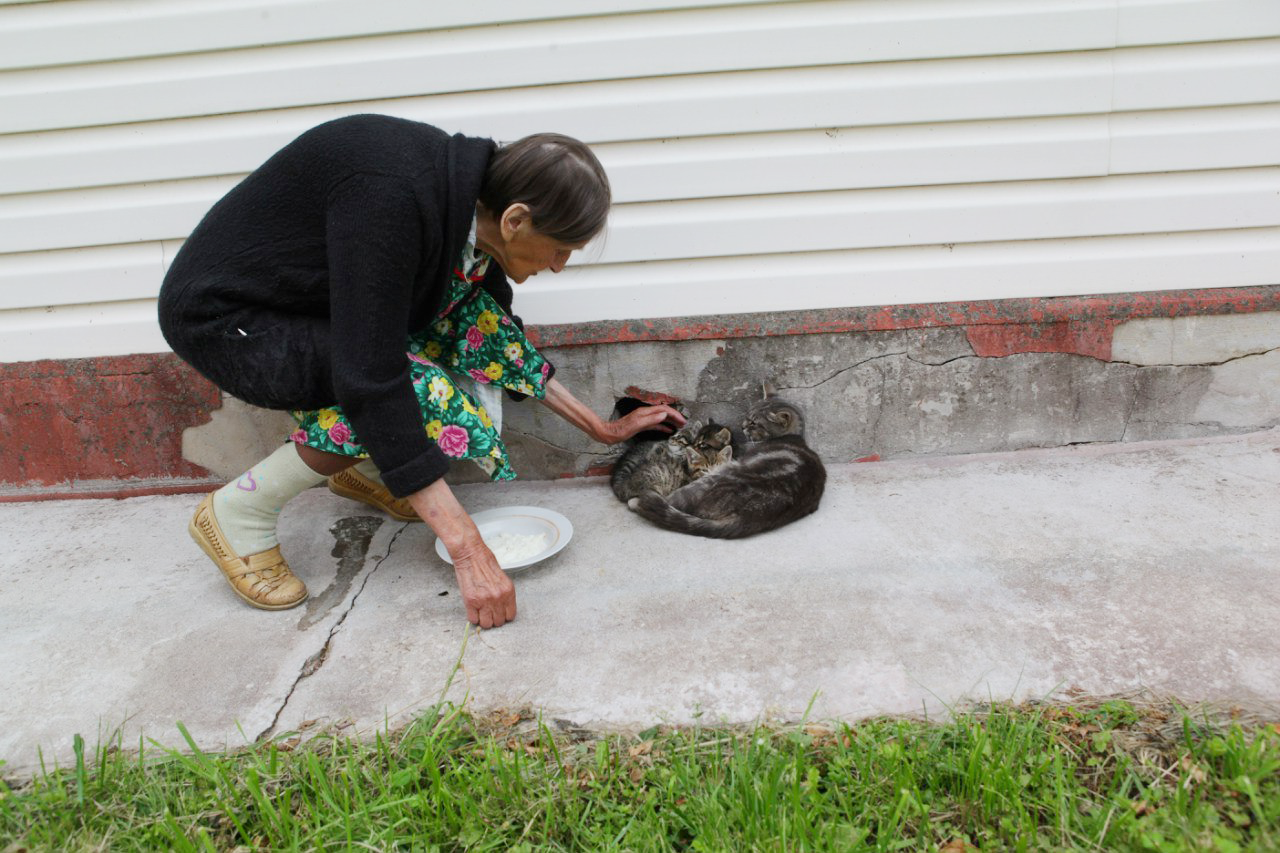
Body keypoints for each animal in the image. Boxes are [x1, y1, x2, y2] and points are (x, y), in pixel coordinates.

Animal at [629, 399, 829, 537]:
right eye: (748, 415)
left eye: (754, 423)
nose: (742, 425)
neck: (793, 435)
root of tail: (748, 516)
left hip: (705, 483)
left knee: (666, 500)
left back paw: (637, 502)